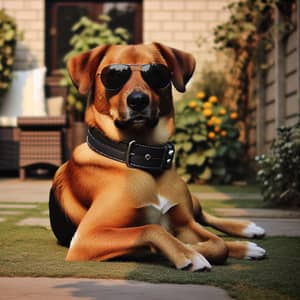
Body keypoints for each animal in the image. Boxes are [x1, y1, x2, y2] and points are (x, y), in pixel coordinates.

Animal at [48, 42, 264, 272]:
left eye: (157, 73)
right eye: (113, 75)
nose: (137, 100)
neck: (144, 159)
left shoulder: (185, 222)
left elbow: (218, 243)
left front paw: (195, 247)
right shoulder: (86, 236)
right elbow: (151, 229)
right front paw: (187, 251)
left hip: (191, 204)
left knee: (203, 216)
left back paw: (247, 232)